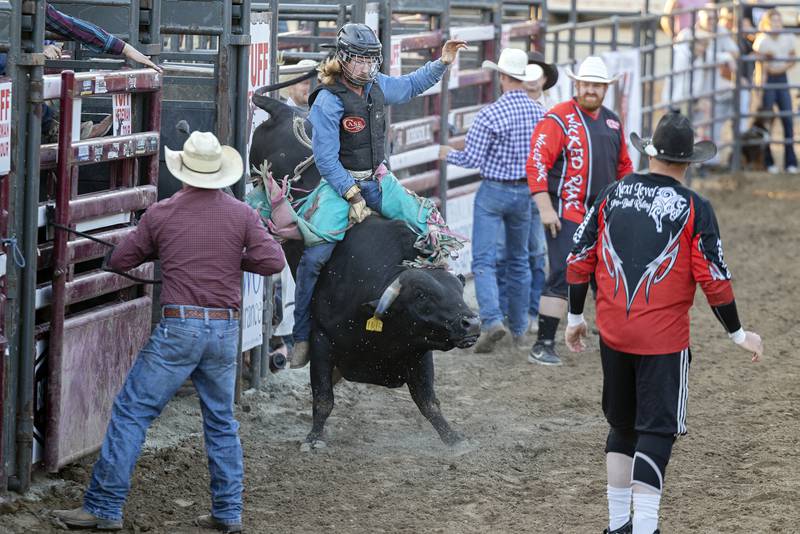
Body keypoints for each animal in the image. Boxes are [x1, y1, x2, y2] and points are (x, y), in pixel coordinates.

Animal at [250, 94, 478, 446]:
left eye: (458, 290)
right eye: (422, 296)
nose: (471, 323)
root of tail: (285, 109)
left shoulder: (419, 352)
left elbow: (428, 402)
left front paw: (454, 439)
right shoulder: (321, 339)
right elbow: (323, 398)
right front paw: (313, 439)